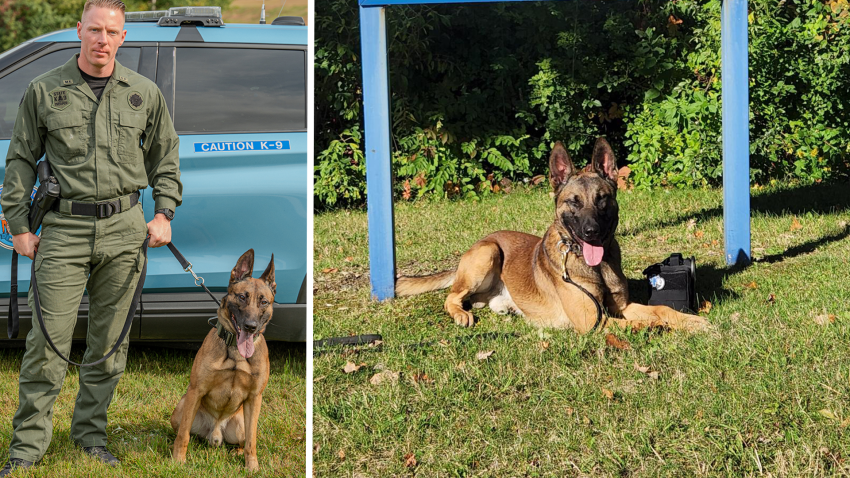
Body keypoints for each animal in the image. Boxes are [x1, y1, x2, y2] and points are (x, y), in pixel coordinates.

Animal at [171, 250, 276, 470]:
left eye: (264, 302)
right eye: (242, 297)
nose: (250, 327)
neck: (236, 352)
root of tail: (216, 432)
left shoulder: (255, 398)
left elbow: (252, 442)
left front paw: (252, 467)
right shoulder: (196, 391)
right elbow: (183, 435)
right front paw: (177, 461)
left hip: (241, 424)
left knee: (244, 441)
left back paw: (238, 453)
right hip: (181, 408)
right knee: (185, 432)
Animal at [396, 137, 708, 332]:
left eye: (602, 199)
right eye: (573, 202)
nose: (591, 232)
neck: (595, 267)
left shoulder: (624, 306)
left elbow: (662, 310)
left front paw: (690, 321)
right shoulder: (594, 321)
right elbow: (648, 322)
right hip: (488, 253)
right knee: (452, 297)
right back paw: (462, 314)